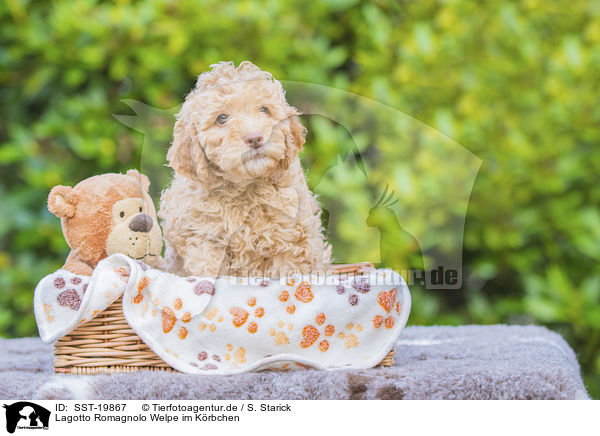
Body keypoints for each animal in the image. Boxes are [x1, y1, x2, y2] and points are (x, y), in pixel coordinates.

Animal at [157, 61, 330, 276]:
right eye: (222, 118)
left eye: (264, 110)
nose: (255, 138)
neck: (245, 188)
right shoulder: (206, 243)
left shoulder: (290, 240)